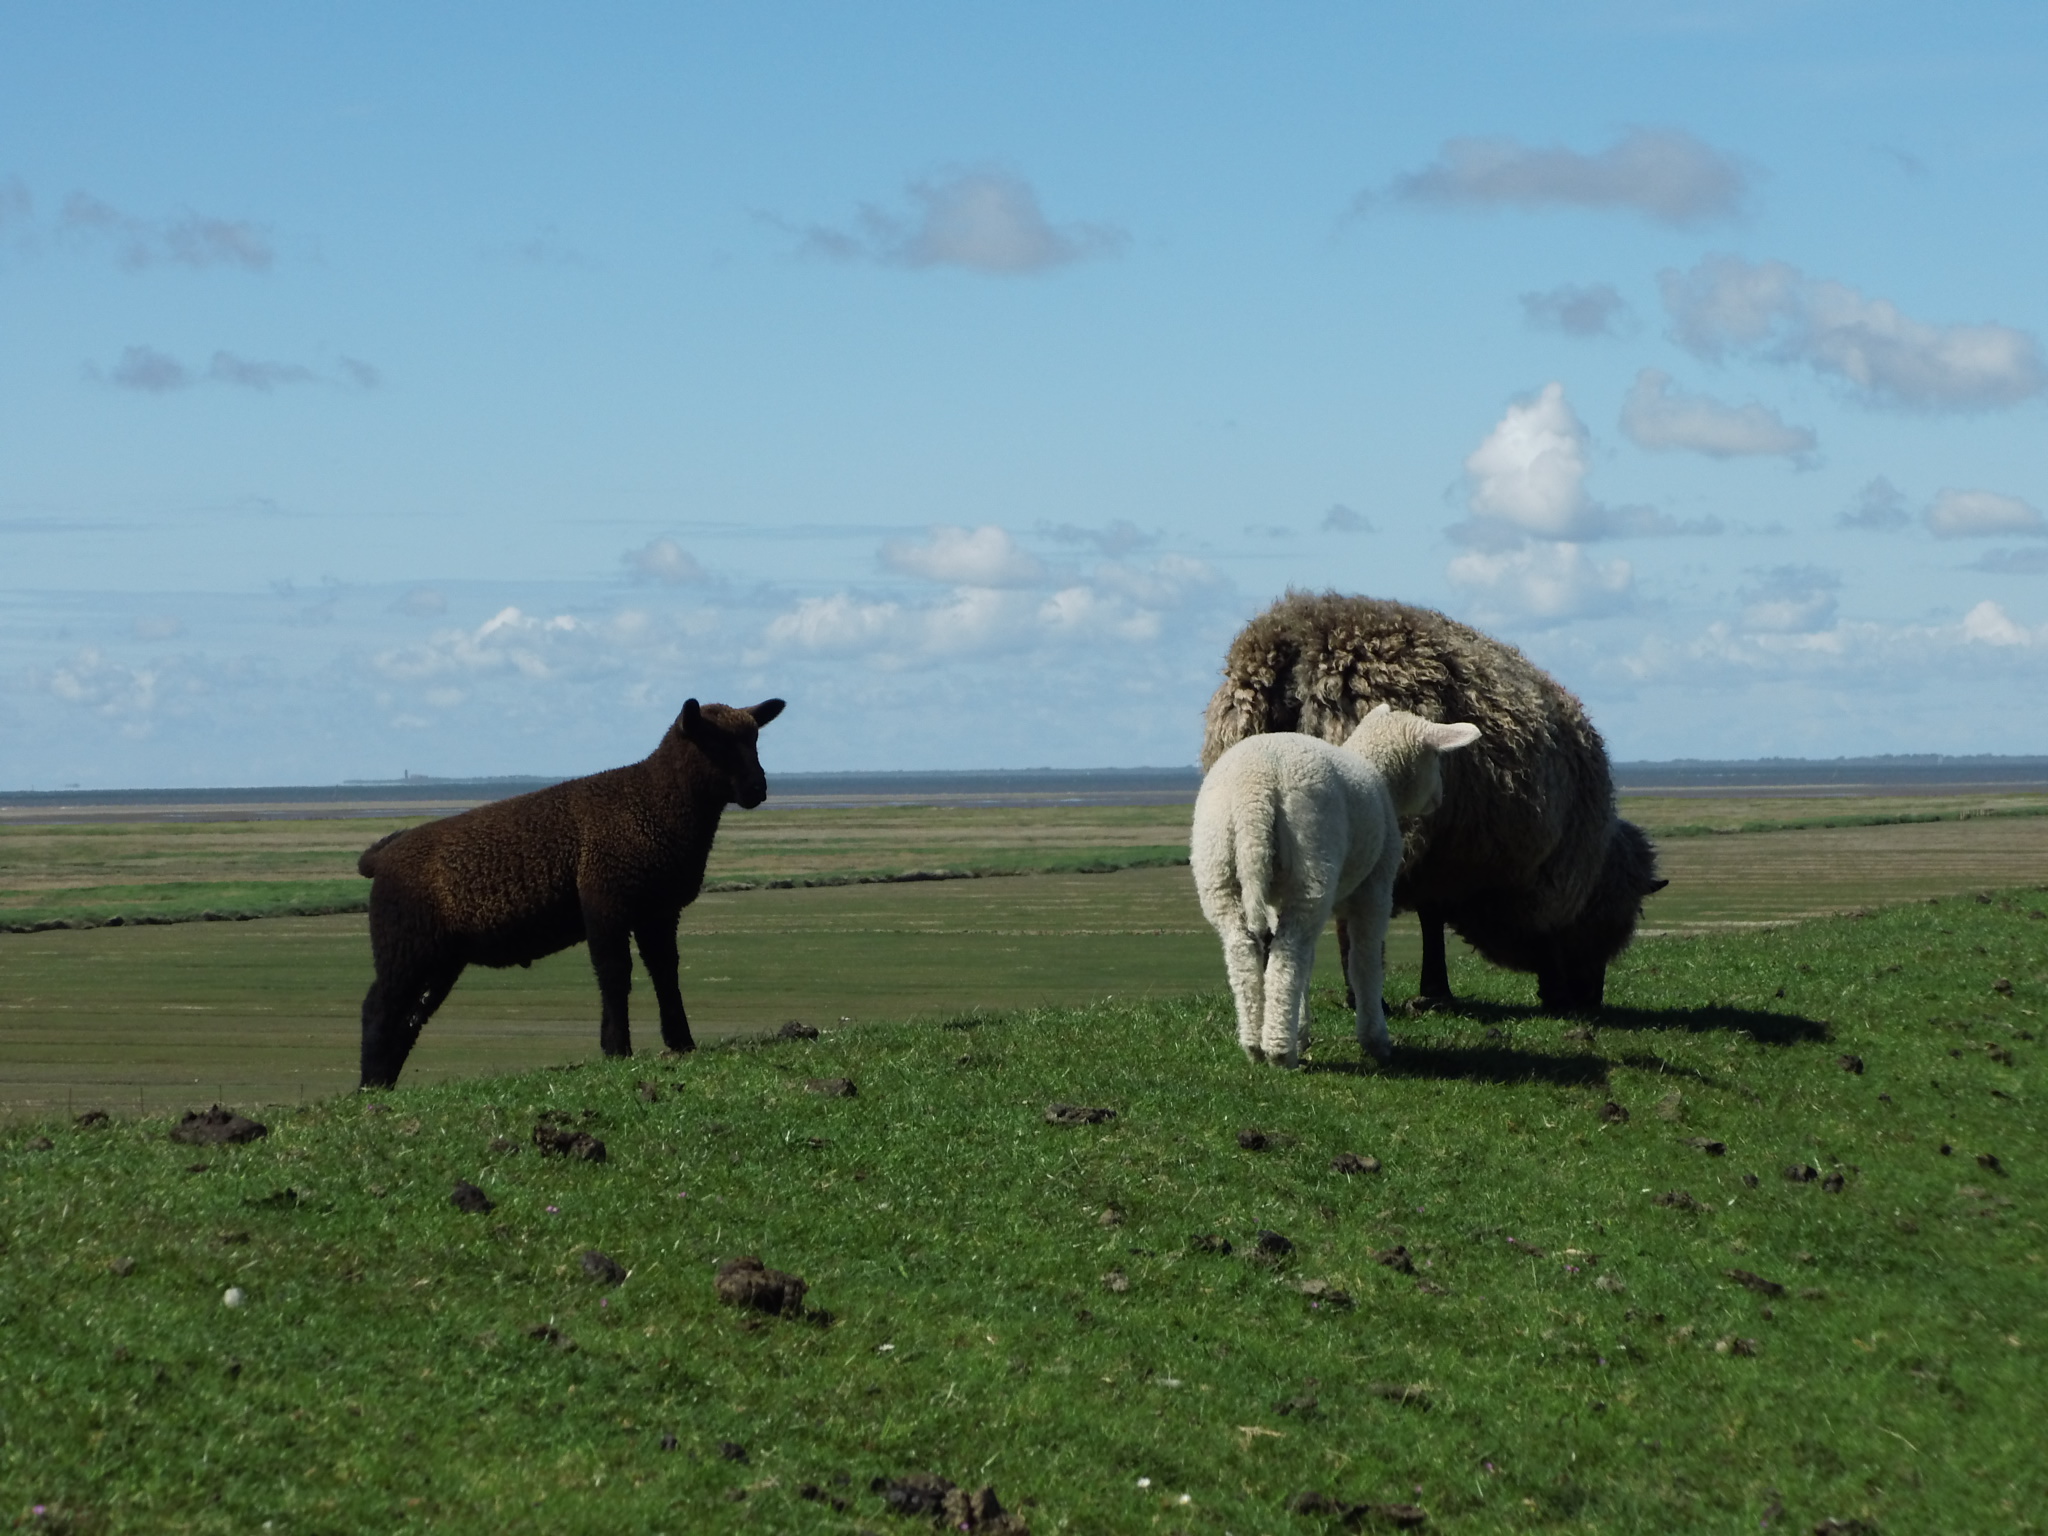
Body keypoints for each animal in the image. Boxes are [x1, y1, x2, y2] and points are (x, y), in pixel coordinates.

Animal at [354, 696, 784, 1088]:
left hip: (438, 956)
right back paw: (369, 1086)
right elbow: (615, 974)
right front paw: (617, 1049)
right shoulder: (605, 901)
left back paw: (384, 1083)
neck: (656, 798)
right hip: (404, 942)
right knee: (378, 1008)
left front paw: (682, 1043)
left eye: (754, 739)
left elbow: (666, 972)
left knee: (410, 1016)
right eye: (715, 743)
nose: (757, 789)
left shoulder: (657, 911)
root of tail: (381, 858)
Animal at [1193, 704, 1481, 1068]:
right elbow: (1364, 960)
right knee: (1290, 953)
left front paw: (1301, 1029)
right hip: (1312, 857)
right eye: (1435, 759)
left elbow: (1312, 962)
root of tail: (1254, 792)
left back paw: (1255, 1044)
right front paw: (1375, 1038)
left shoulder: (1277, 901)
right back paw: (1280, 1050)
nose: (1439, 799)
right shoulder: (1375, 887)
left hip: (1218, 866)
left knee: (1246, 952)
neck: (1379, 775)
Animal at [1201, 591, 1664, 1013]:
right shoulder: (1512, 871)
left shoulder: (1444, 853)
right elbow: (1446, 919)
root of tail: (1296, 639)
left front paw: (1435, 990)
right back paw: (1363, 998)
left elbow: (1431, 916)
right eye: (1615, 918)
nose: (1591, 1000)